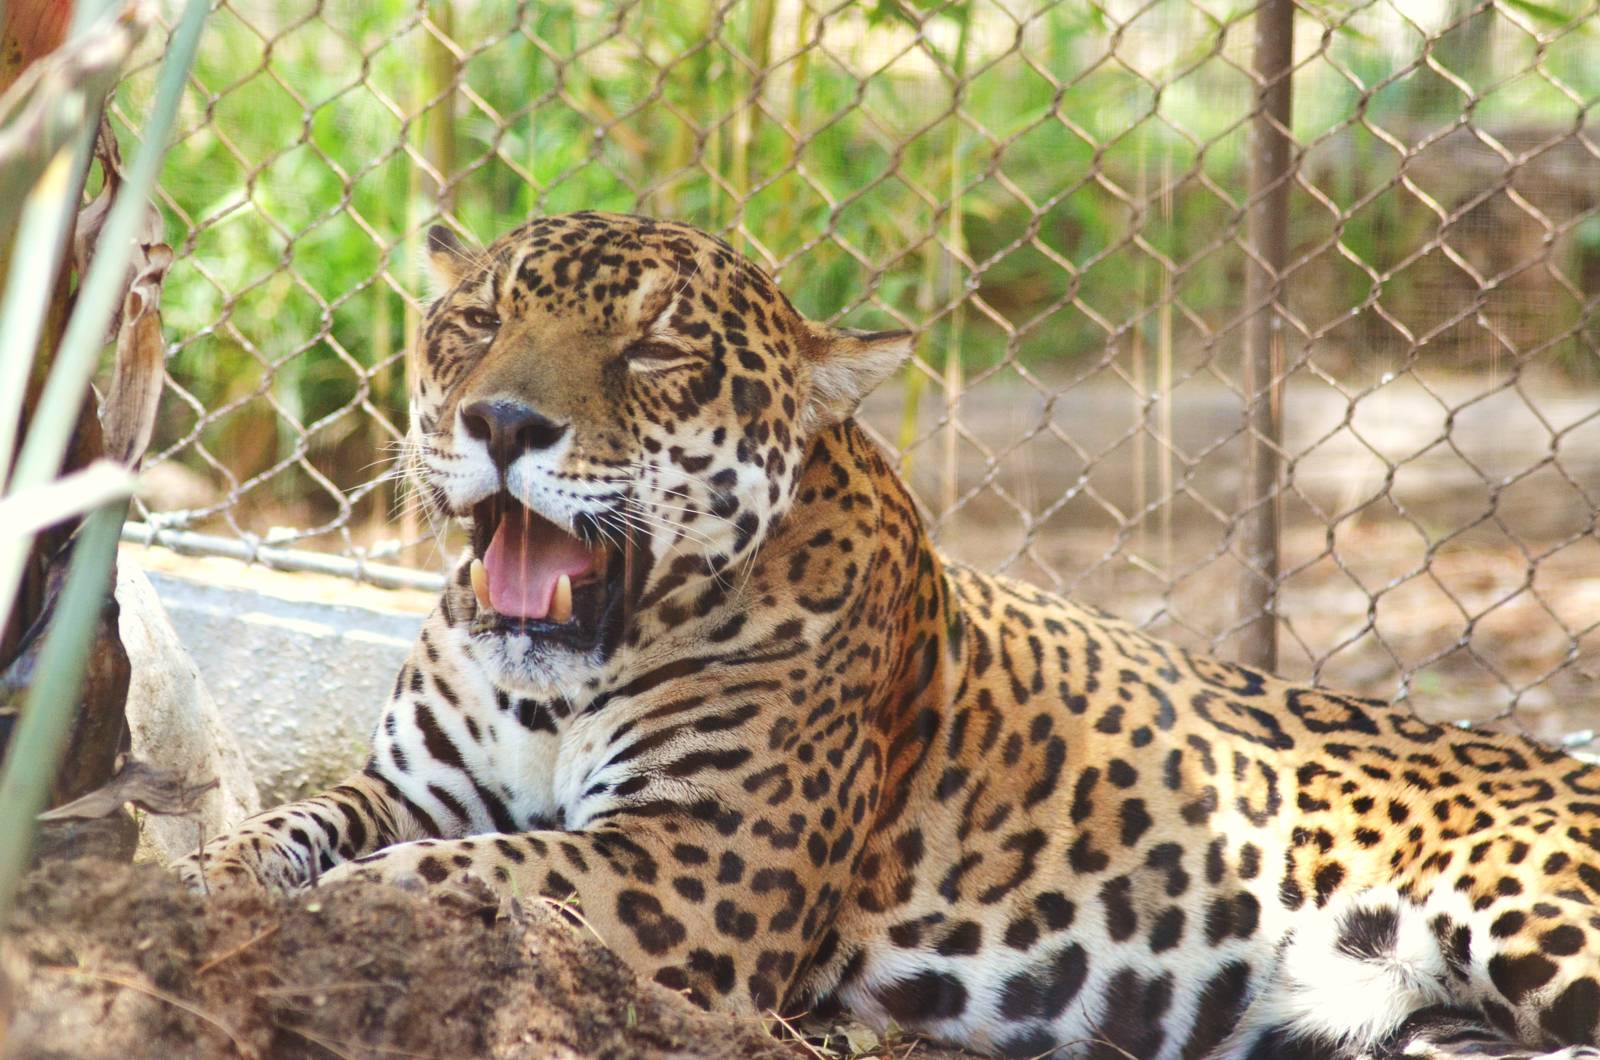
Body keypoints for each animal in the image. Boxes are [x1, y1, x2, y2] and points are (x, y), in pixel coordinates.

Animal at [179, 211, 1600, 1059]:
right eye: (476, 322)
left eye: (653, 351)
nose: (504, 421)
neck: (560, 682)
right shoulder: (414, 782)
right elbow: (297, 823)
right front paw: (207, 883)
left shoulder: (698, 862)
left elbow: (478, 873)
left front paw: (348, 919)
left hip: (1532, 906)